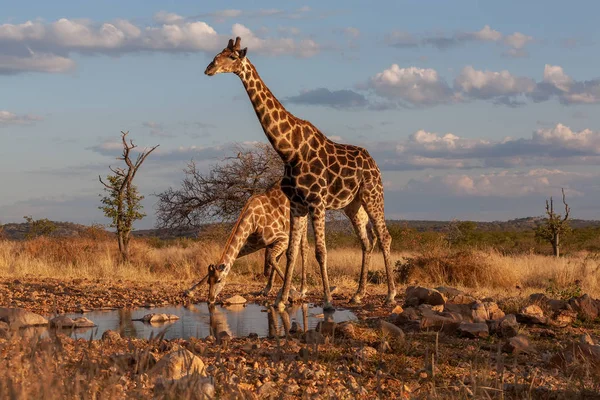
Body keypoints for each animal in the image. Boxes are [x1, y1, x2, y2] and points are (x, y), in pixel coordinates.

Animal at [204, 37, 396, 310]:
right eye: (218, 53)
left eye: (231, 57)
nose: (209, 68)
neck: (290, 150)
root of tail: (374, 162)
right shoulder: (297, 205)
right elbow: (292, 252)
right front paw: (281, 300)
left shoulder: (317, 202)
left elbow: (320, 251)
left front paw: (327, 300)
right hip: (353, 205)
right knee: (366, 242)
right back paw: (358, 294)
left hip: (373, 195)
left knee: (384, 237)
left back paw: (391, 294)